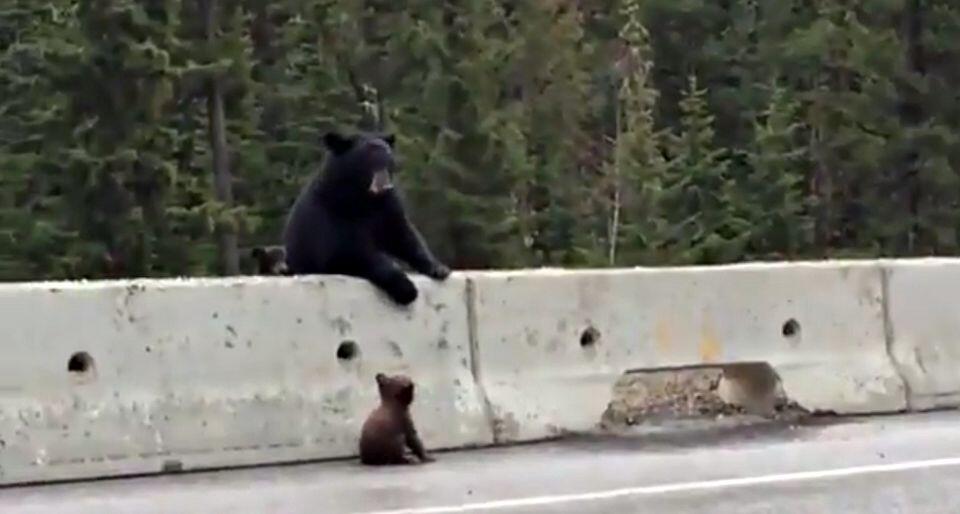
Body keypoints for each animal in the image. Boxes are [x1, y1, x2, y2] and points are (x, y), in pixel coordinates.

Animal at [282, 131, 450, 305]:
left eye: (386, 147)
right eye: (371, 149)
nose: (387, 154)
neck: (366, 198)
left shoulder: (388, 207)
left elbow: (403, 236)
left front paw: (438, 268)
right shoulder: (332, 212)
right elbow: (347, 251)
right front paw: (406, 289)